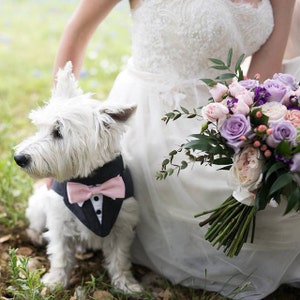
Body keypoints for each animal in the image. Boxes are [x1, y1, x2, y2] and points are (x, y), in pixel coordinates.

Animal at [12, 61, 142, 292]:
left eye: (58, 132)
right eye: (40, 127)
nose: (19, 158)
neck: (91, 183)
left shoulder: (123, 224)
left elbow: (120, 258)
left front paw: (126, 284)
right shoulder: (59, 221)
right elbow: (60, 255)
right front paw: (55, 282)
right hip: (39, 206)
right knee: (35, 223)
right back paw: (35, 236)